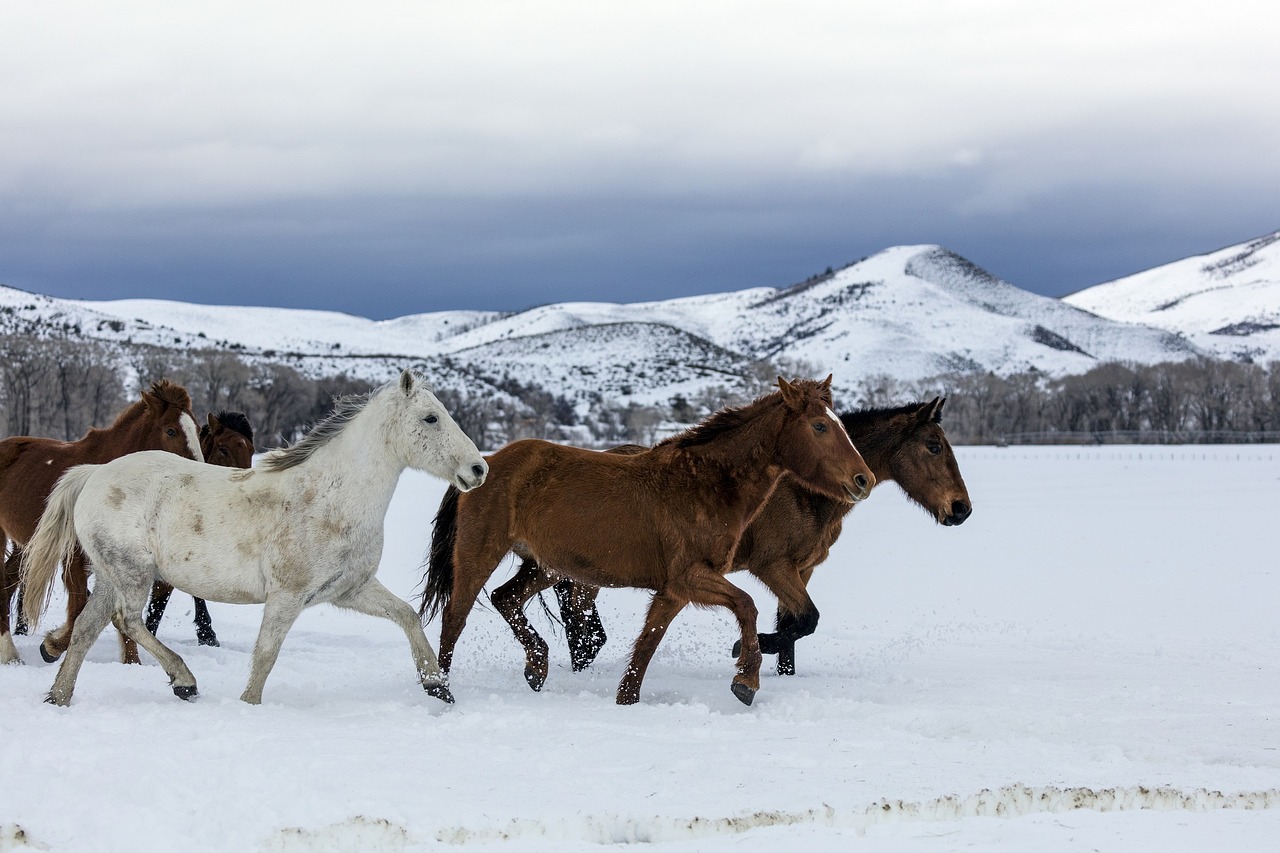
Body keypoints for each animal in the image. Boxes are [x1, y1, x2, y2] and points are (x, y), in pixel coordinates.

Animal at [0, 379, 202, 666]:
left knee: (8, 580)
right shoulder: (73, 559)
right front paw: (51, 647)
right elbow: (79, 609)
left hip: (25, 544)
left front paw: (133, 664)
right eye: (171, 430)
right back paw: (10, 652)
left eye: (197, 430)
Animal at [424, 376, 875, 701]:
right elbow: (747, 605)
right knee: (454, 619)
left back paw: (537, 667)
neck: (704, 484)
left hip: (545, 566)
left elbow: (645, 648)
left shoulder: (675, 590)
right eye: (819, 425)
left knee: (506, 598)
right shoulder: (691, 577)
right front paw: (746, 680)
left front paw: (627, 701)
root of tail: (484, 464)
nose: (863, 480)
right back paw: (440, 689)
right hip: (481, 553)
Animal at [537, 394, 967, 676]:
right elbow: (806, 620)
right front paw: (744, 650)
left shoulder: (801, 570)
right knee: (574, 612)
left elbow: (793, 626)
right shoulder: (773, 567)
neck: (803, 489)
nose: (962, 508)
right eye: (933, 446)